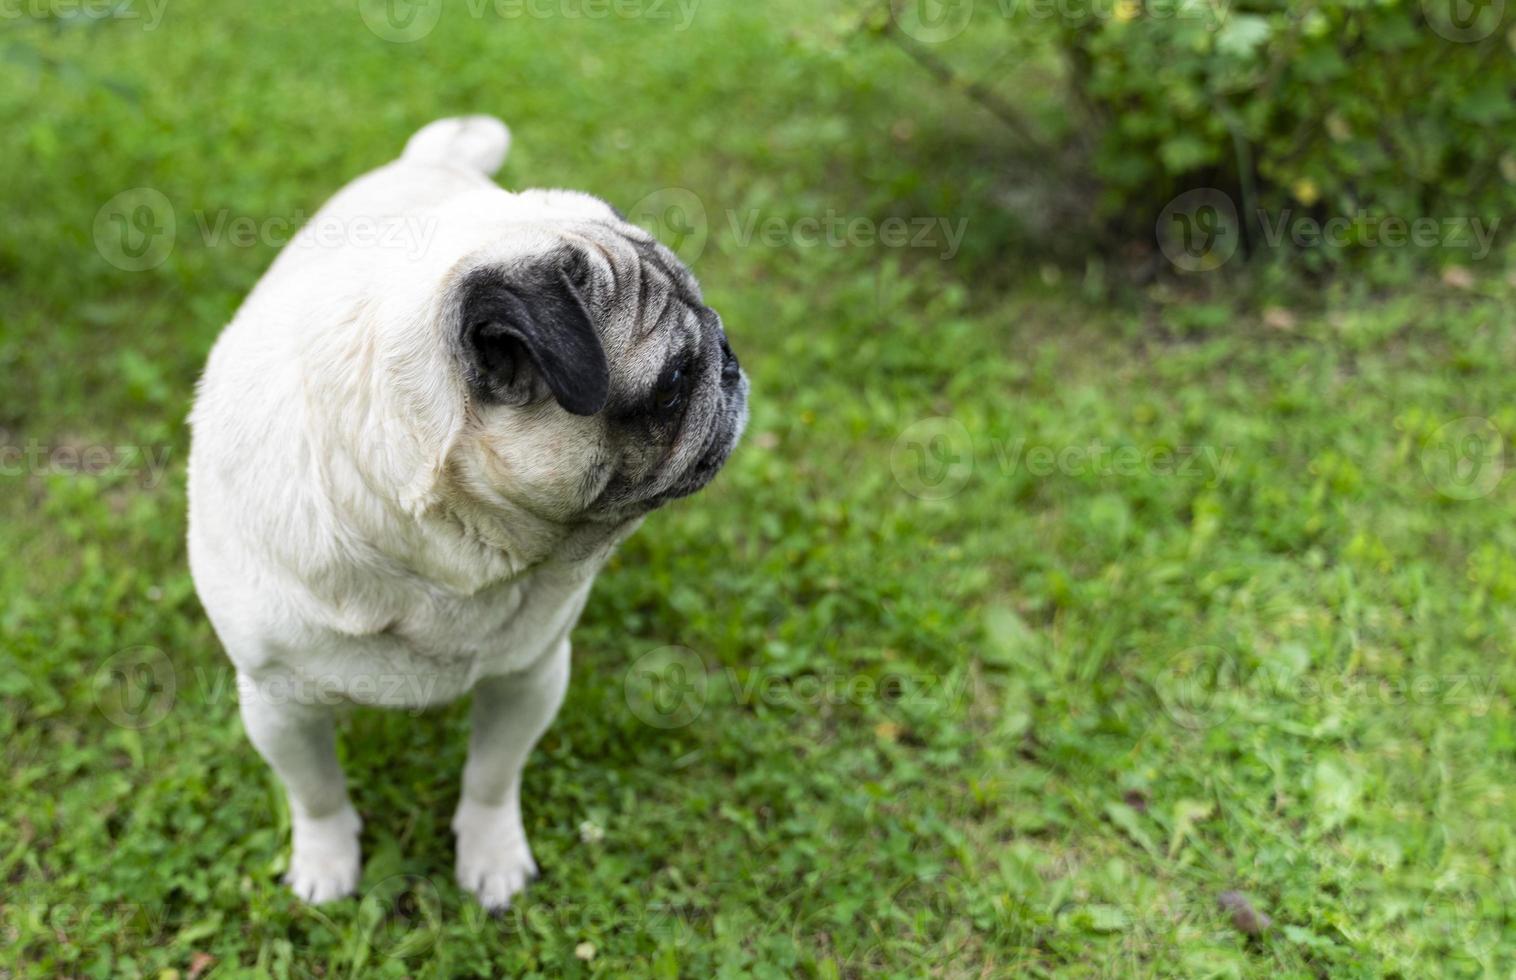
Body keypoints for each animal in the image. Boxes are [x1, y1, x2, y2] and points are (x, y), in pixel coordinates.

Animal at [186, 116, 748, 916]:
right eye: (672, 384)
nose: (729, 358)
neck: (447, 553)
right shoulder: (278, 703)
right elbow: (316, 792)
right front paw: (326, 864)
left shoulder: (530, 676)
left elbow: (490, 777)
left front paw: (491, 857)